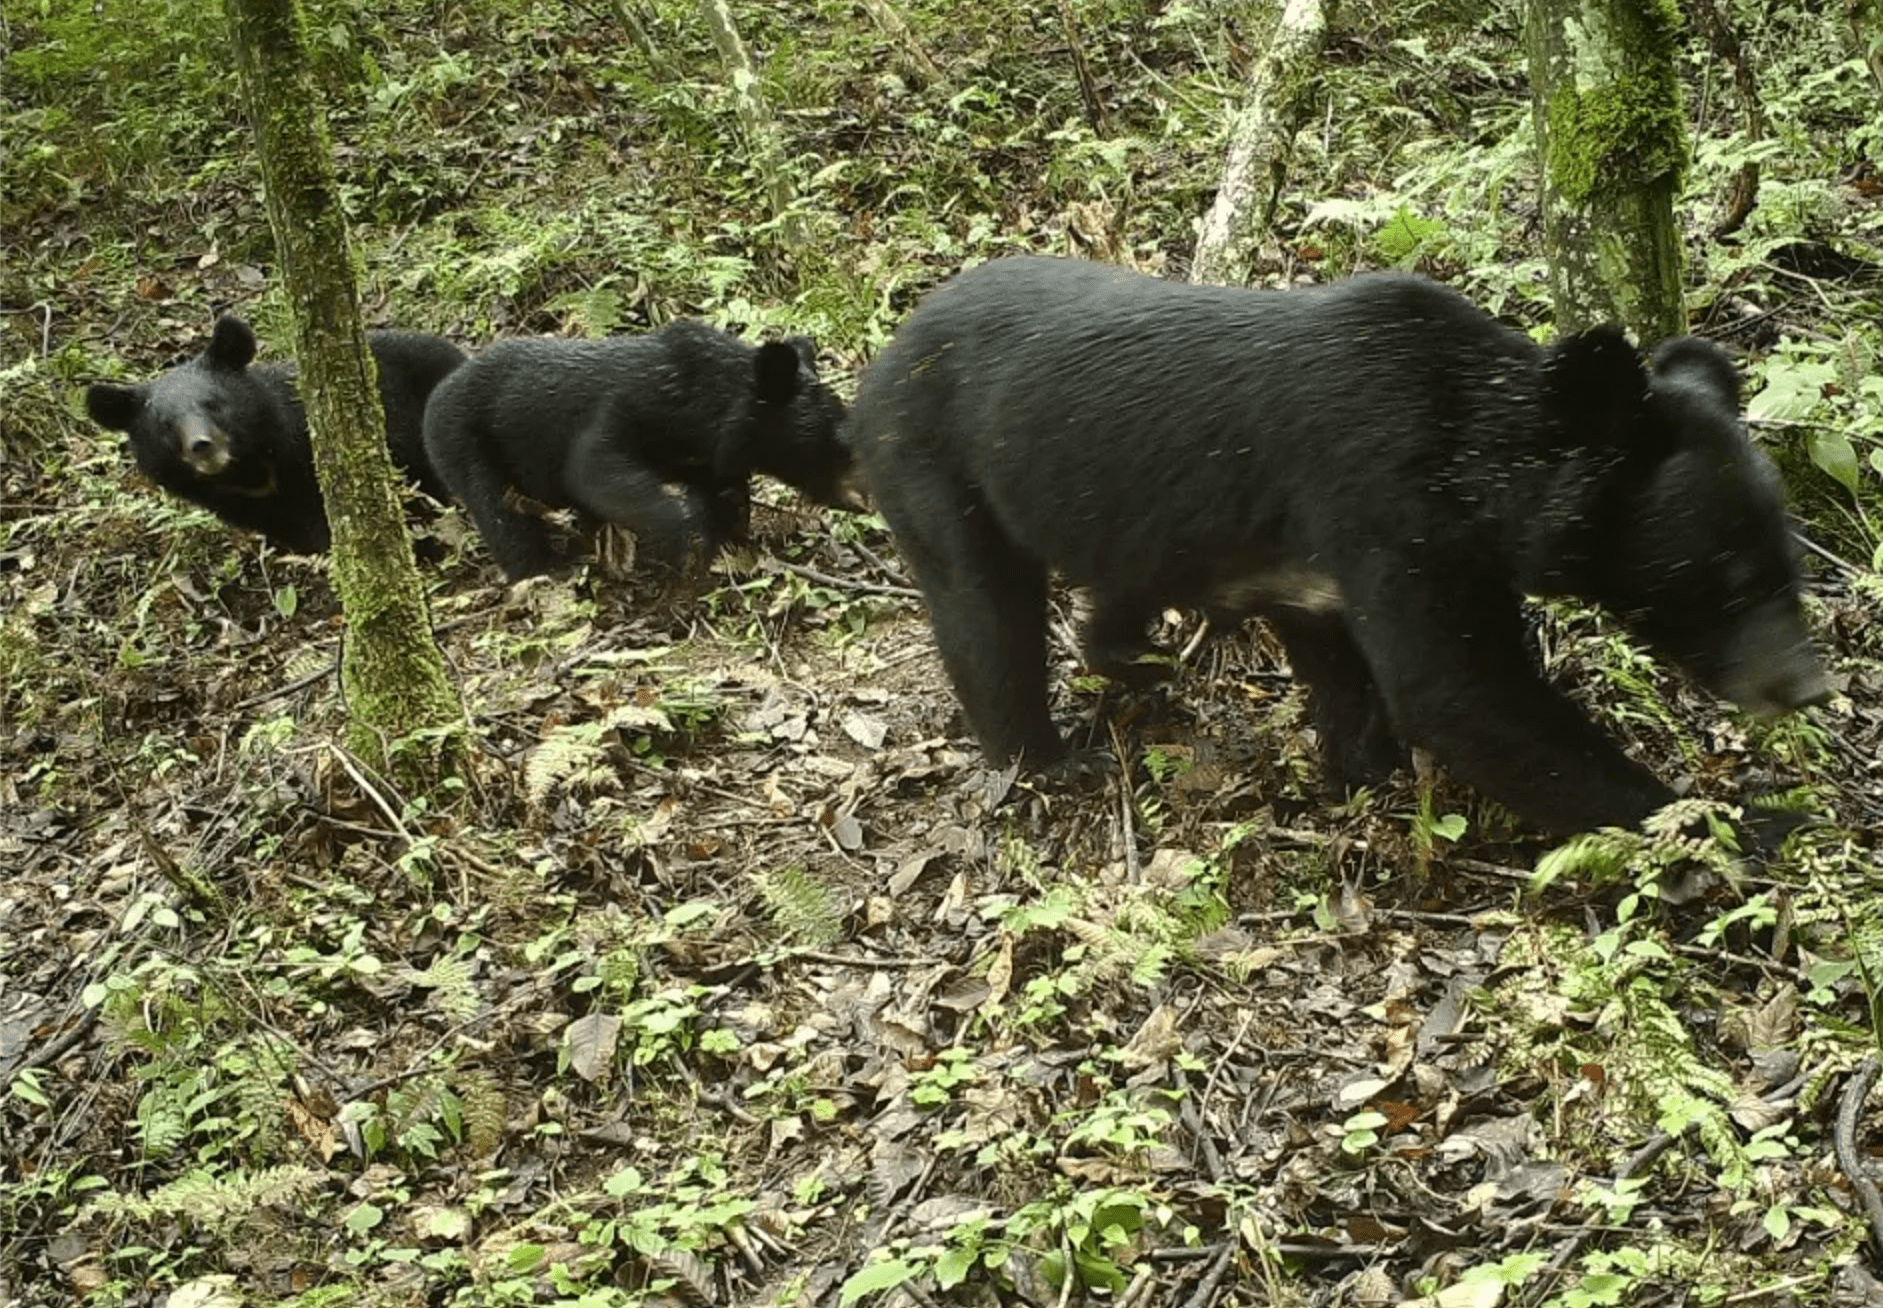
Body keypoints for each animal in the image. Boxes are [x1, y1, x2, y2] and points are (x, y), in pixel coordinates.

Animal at [421, 318, 854, 583]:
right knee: (497, 513)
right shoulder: (626, 411)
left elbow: (723, 490)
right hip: (465, 442)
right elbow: (594, 470)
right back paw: (539, 567)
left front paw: (730, 535)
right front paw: (687, 545)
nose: (859, 497)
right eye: (823, 441)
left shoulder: (703, 457)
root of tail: (437, 392)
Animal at [851, 250, 1822, 835]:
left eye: (1787, 564)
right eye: (1726, 579)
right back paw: (1048, 759)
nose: (1806, 687)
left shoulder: (1310, 564)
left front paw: (1362, 768)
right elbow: (1459, 692)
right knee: (986, 614)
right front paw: (1725, 828)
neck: (1477, 458)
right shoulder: (1384, 508)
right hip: (934, 465)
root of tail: (877, 364)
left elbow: (1347, 669)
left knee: (1116, 587)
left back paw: (1134, 663)